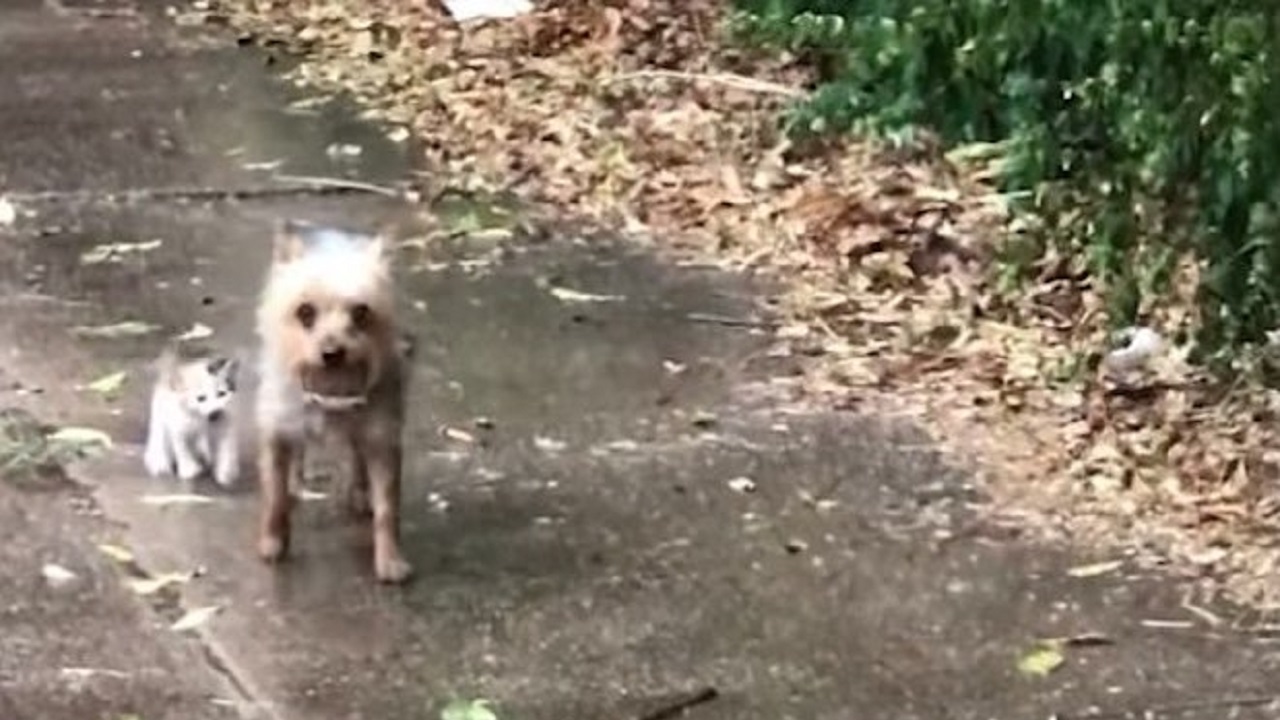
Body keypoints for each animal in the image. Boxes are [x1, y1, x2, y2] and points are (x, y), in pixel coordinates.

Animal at [145, 340, 244, 486]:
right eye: (201, 398)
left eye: (222, 394)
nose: (215, 412)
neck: (201, 417)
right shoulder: (177, 418)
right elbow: (180, 442)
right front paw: (188, 469)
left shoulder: (227, 416)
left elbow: (226, 444)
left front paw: (226, 471)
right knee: (160, 432)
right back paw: (159, 460)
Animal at [249, 219, 409, 584]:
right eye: (305, 312)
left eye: (361, 312)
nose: (332, 352)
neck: (331, 388)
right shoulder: (278, 430)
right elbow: (274, 495)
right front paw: (273, 541)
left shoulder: (382, 437)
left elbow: (387, 509)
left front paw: (390, 559)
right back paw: (296, 484)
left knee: (355, 457)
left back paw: (358, 492)